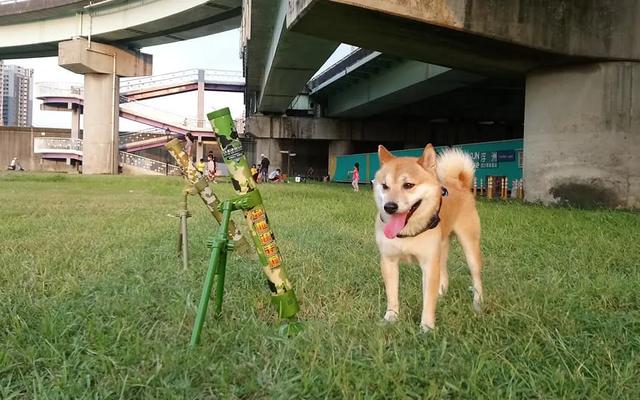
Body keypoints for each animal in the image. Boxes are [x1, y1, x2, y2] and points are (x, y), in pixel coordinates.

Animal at [372, 144, 482, 332]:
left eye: (408, 185)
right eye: (385, 186)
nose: (389, 206)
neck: (407, 232)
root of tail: (459, 184)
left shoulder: (429, 264)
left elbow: (428, 301)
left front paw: (426, 328)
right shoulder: (389, 261)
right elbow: (392, 295)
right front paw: (391, 318)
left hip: (469, 246)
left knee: (476, 277)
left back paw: (478, 304)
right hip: (442, 247)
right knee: (444, 271)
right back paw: (441, 294)